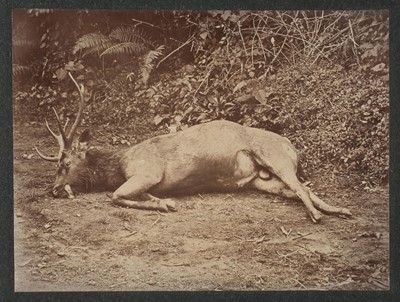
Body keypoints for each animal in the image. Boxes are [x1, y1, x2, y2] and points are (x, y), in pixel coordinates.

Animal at [36, 73, 352, 223]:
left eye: (65, 164)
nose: (53, 190)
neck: (118, 165)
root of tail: (290, 144)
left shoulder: (148, 172)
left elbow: (115, 196)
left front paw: (164, 203)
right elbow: (126, 195)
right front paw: (160, 200)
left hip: (273, 156)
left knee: (300, 187)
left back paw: (318, 215)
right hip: (260, 180)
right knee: (301, 188)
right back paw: (340, 210)